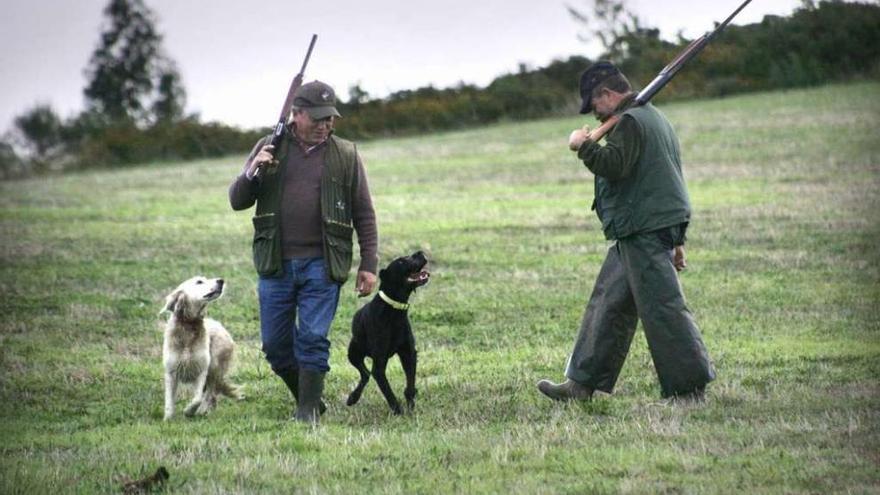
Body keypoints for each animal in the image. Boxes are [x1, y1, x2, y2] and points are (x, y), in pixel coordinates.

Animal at [161, 278, 241, 420]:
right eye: (199, 281)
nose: (221, 280)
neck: (188, 327)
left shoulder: (201, 371)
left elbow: (197, 398)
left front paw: (188, 411)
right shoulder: (171, 373)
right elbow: (169, 401)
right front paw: (168, 419)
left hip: (215, 367)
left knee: (211, 394)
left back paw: (202, 411)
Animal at [348, 252, 430, 414]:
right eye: (401, 261)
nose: (420, 252)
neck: (394, 310)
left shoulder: (409, 354)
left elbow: (410, 384)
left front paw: (410, 405)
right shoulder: (379, 365)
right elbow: (388, 391)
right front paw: (398, 411)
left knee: (365, 374)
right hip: (353, 352)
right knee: (365, 374)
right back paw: (353, 398)